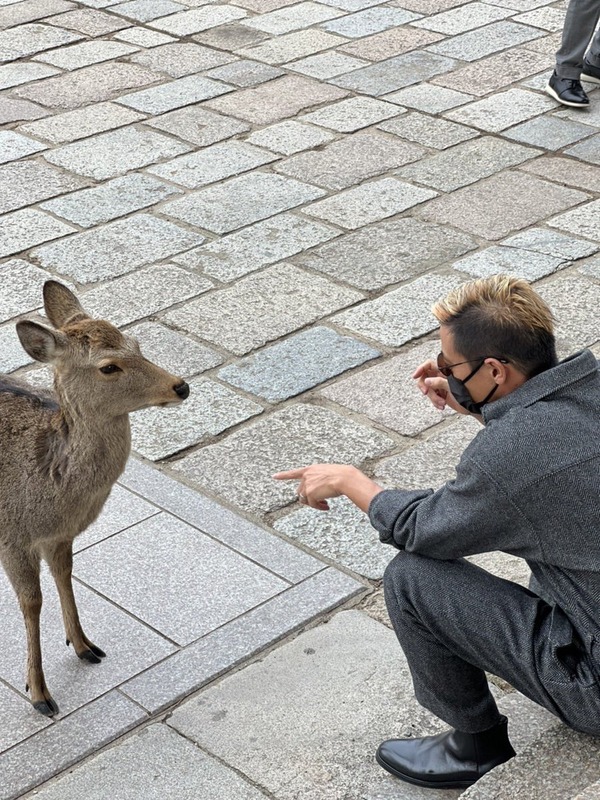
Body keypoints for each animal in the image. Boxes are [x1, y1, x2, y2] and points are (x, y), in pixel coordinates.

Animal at [0, 280, 190, 717]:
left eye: (136, 343)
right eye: (108, 367)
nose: (181, 386)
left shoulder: (59, 536)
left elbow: (65, 575)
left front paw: (84, 645)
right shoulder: (12, 537)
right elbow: (31, 602)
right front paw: (39, 693)